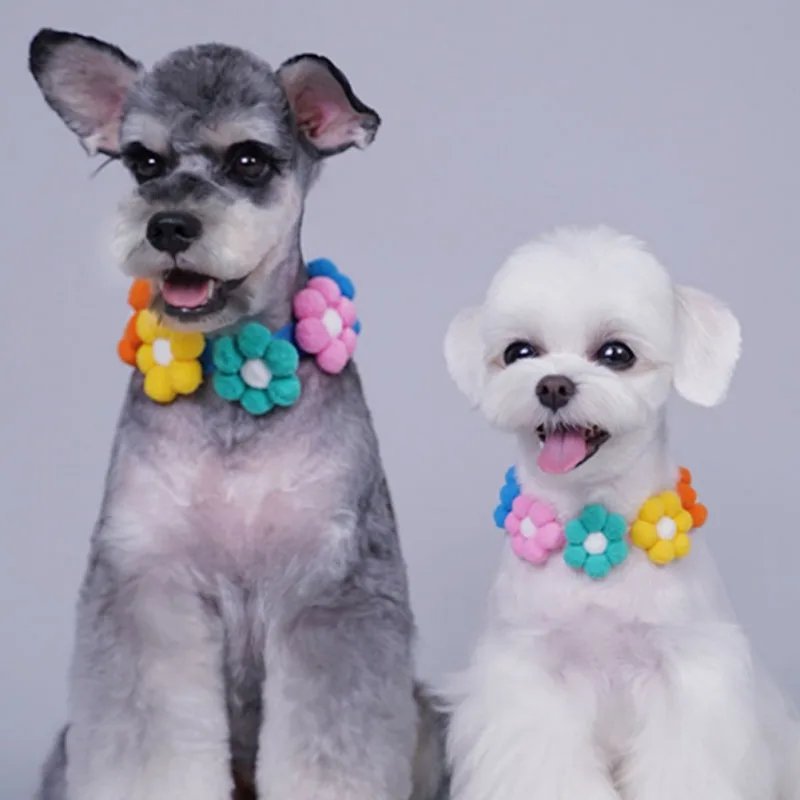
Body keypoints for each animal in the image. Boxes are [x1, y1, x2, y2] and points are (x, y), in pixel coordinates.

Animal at [28, 28, 446, 796]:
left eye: (248, 159)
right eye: (144, 161)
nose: (168, 225)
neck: (235, 381)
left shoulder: (332, 589)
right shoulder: (148, 582)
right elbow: (149, 749)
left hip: (427, 723)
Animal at [444, 225, 800, 800]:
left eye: (616, 353)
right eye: (519, 352)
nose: (553, 384)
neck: (594, 525)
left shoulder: (688, 672)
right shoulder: (530, 676)